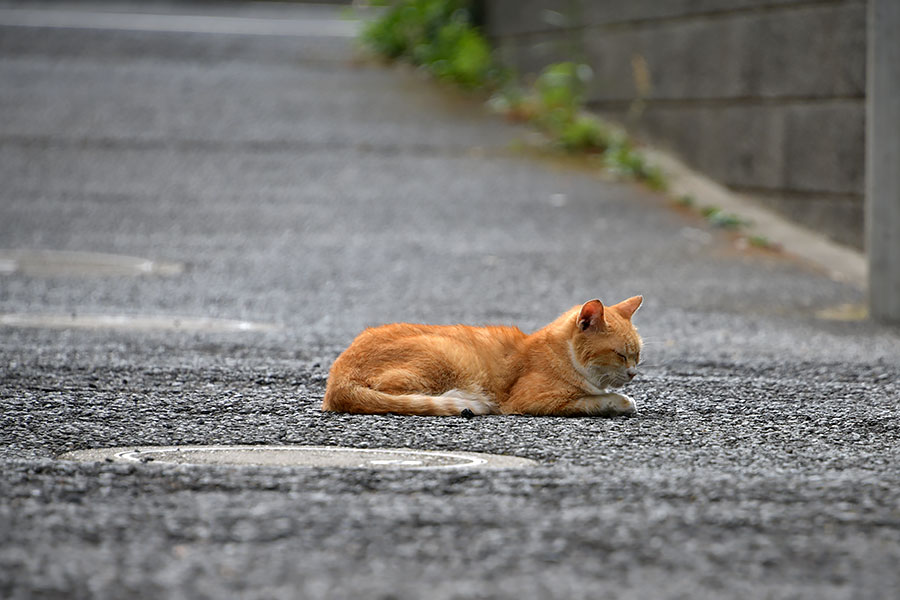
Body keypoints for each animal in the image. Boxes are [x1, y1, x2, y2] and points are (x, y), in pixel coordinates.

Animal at [322, 296, 640, 418]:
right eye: (620, 355)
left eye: (637, 355)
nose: (634, 373)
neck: (561, 355)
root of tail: (337, 375)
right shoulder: (533, 400)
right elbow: (591, 401)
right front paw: (620, 401)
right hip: (446, 354)